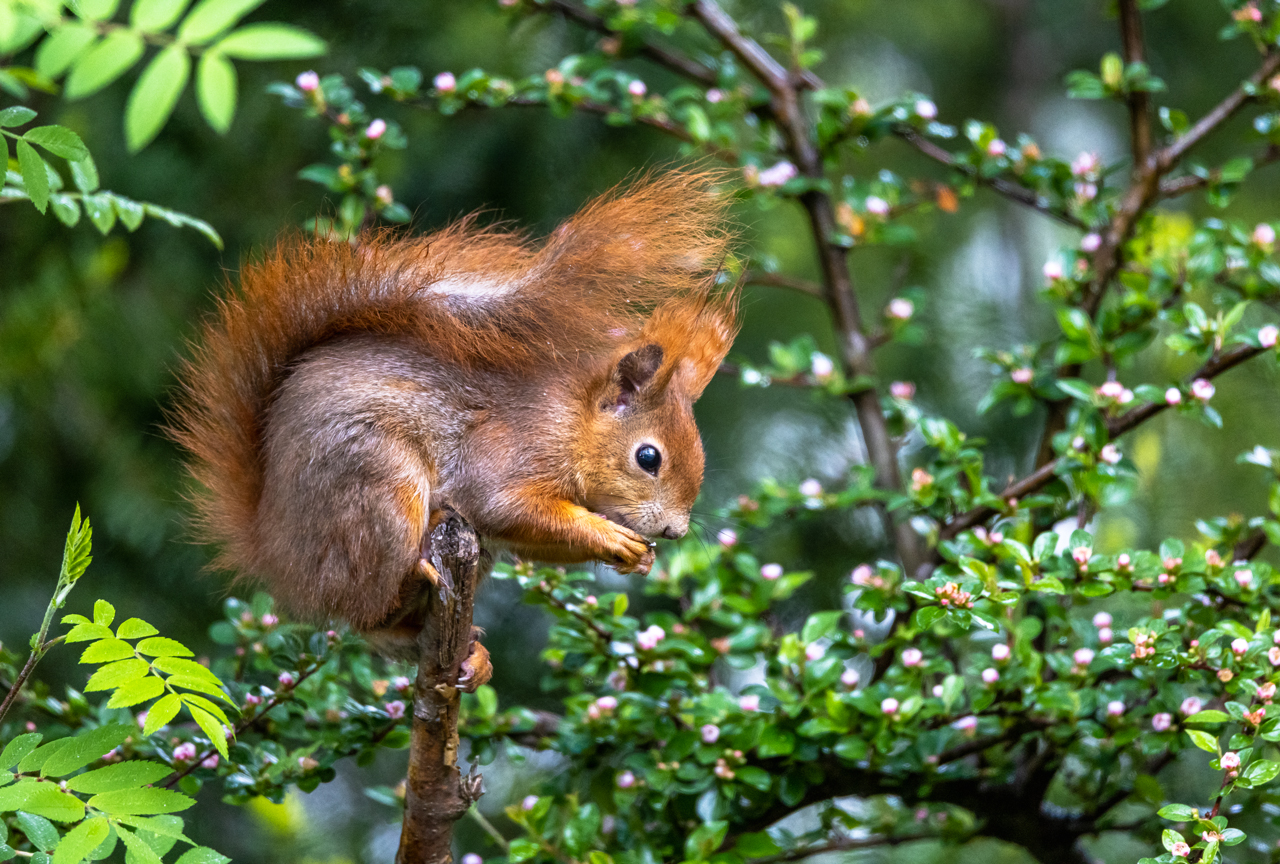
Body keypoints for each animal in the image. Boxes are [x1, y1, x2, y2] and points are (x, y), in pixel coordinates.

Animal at [170, 168, 742, 680]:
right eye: (648, 457)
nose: (675, 531)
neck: (571, 422)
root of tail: (273, 550)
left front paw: (636, 560)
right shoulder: (507, 453)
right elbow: (504, 507)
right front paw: (611, 538)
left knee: (379, 631)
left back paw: (470, 655)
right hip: (378, 492)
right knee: (367, 608)